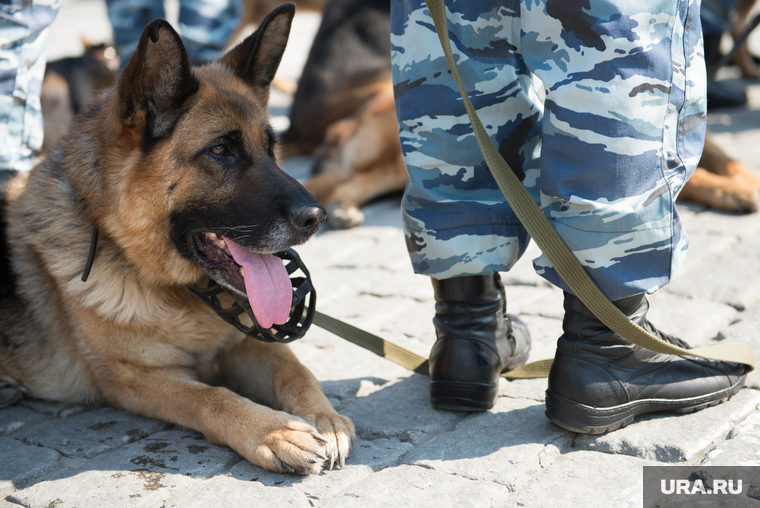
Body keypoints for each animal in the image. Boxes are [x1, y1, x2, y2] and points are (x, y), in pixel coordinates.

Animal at [0, 2, 354, 472]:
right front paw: (274, 431)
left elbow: (294, 370)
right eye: (221, 151)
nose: (317, 216)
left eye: (271, 148)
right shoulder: (134, 378)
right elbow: (211, 397)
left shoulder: (246, 341)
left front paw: (324, 417)